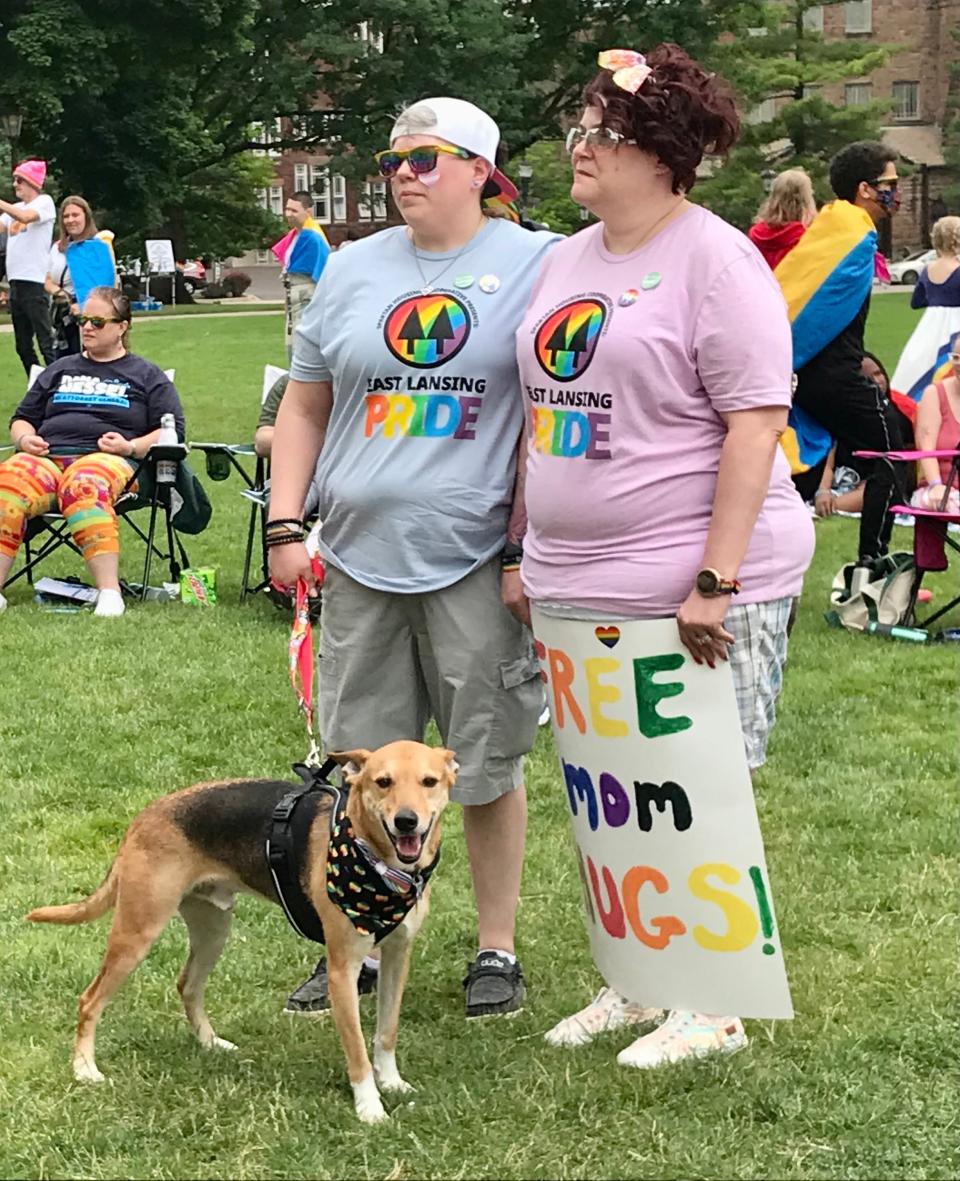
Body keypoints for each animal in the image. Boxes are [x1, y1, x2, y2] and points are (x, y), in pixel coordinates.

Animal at [24, 741, 455, 1119]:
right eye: (382, 782)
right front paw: (370, 1108)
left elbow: (386, 1031)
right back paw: (84, 1069)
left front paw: (393, 1082)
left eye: (429, 781)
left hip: (213, 929)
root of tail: (145, 816)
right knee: (90, 1000)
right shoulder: (341, 969)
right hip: (137, 932)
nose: (406, 821)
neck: (378, 866)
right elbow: (357, 1051)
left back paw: (211, 1043)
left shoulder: (397, 957)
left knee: (187, 985)